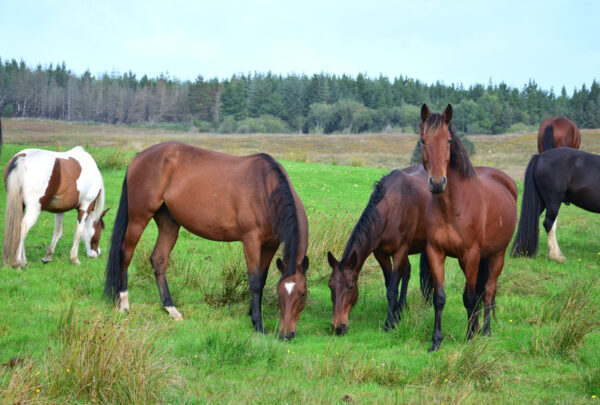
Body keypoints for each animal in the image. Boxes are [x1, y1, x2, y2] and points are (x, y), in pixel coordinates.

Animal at [103, 141, 310, 338]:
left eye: (302, 293)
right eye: (280, 293)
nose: (286, 335)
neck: (265, 191)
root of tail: (139, 157)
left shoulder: (270, 244)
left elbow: (263, 278)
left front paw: (252, 312)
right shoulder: (251, 240)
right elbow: (255, 281)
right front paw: (258, 324)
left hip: (169, 224)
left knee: (159, 260)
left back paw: (171, 309)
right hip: (138, 217)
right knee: (125, 254)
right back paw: (124, 304)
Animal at [326, 166, 434, 332]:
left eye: (351, 287)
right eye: (330, 286)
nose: (338, 327)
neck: (391, 208)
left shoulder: (400, 252)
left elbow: (392, 289)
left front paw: (389, 323)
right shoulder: (380, 254)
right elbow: (389, 284)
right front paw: (395, 316)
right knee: (407, 272)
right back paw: (401, 308)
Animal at [420, 104, 516, 350]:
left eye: (448, 141)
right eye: (423, 140)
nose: (437, 183)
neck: (452, 207)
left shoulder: (471, 255)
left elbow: (470, 297)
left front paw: (470, 335)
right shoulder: (435, 252)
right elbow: (439, 297)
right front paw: (436, 341)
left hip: (496, 255)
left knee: (488, 291)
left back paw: (485, 331)